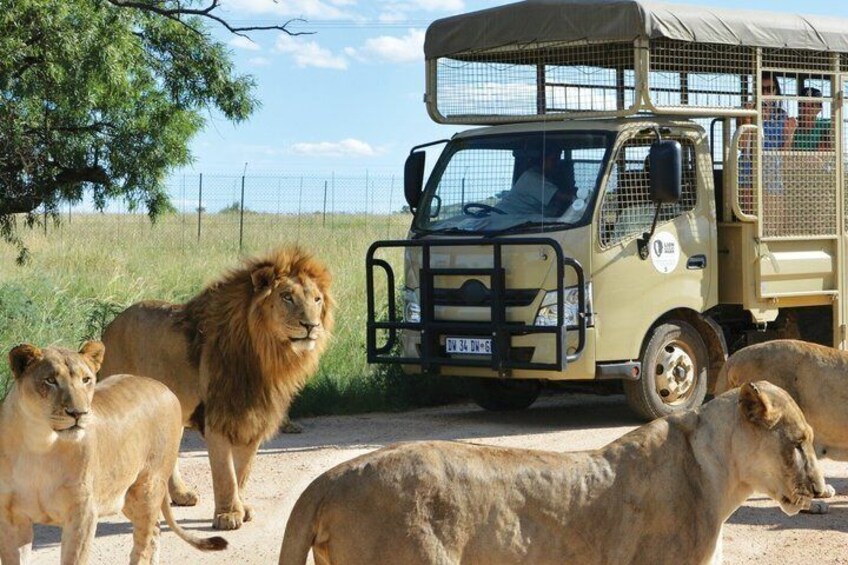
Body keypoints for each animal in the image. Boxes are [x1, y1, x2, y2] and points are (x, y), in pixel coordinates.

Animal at [0, 342, 227, 564]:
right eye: (50, 380)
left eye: (86, 380)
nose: (78, 413)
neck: (39, 443)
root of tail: (164, 387)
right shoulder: (12, 517)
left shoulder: (82, 513)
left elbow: (74, 558)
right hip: (127, 497)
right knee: (154, 531)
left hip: (147, 488)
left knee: (145, 541)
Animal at [99, 246, 334, 530]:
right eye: (287, 297)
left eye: (317, 300)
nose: (311, 326)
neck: (267, 356)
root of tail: (110, 326)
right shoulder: (218, 417)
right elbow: (225, 473)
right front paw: (228, 515)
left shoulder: (254, 417)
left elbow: (242, 472)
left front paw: (241, 508)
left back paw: (180, 495)